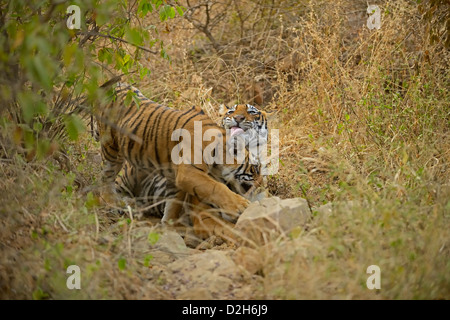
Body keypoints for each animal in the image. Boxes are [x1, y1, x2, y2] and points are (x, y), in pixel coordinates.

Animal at [96, 82, 262, 230]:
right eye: (255, 169)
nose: (261, 186)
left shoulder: (176, 177)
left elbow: (174, 203)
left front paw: (169, 226)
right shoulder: (189, 172)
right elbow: (217, 187)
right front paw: (241, 206)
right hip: (111, 149)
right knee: (106, 178)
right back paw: (111, 203)